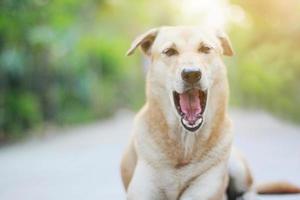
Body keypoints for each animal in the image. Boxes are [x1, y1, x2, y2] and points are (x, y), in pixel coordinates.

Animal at [119, 26, 300, 200]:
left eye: (205, 49)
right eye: (169, 51)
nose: (191, 74)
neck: (185, 144)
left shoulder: (202, 192)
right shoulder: (143, 191)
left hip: (236, 165)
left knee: (249, 189)